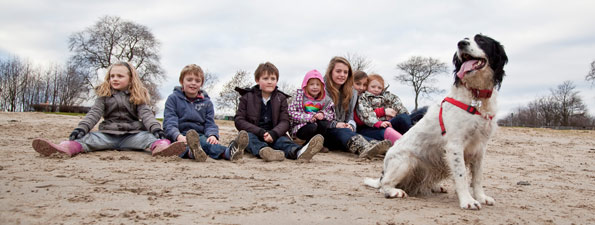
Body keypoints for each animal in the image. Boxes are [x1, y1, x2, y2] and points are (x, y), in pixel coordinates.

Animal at [366, 34, 510, 210]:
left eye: (481, 40)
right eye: (465, 39)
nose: (461, 43)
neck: (477, 96)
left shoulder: (480, 148)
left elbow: (477, 178)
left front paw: (481, 197)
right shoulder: (455, 145)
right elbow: (461, 175)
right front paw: (467, 201)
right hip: (406, 161)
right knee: (384, 185)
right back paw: (394, 191)